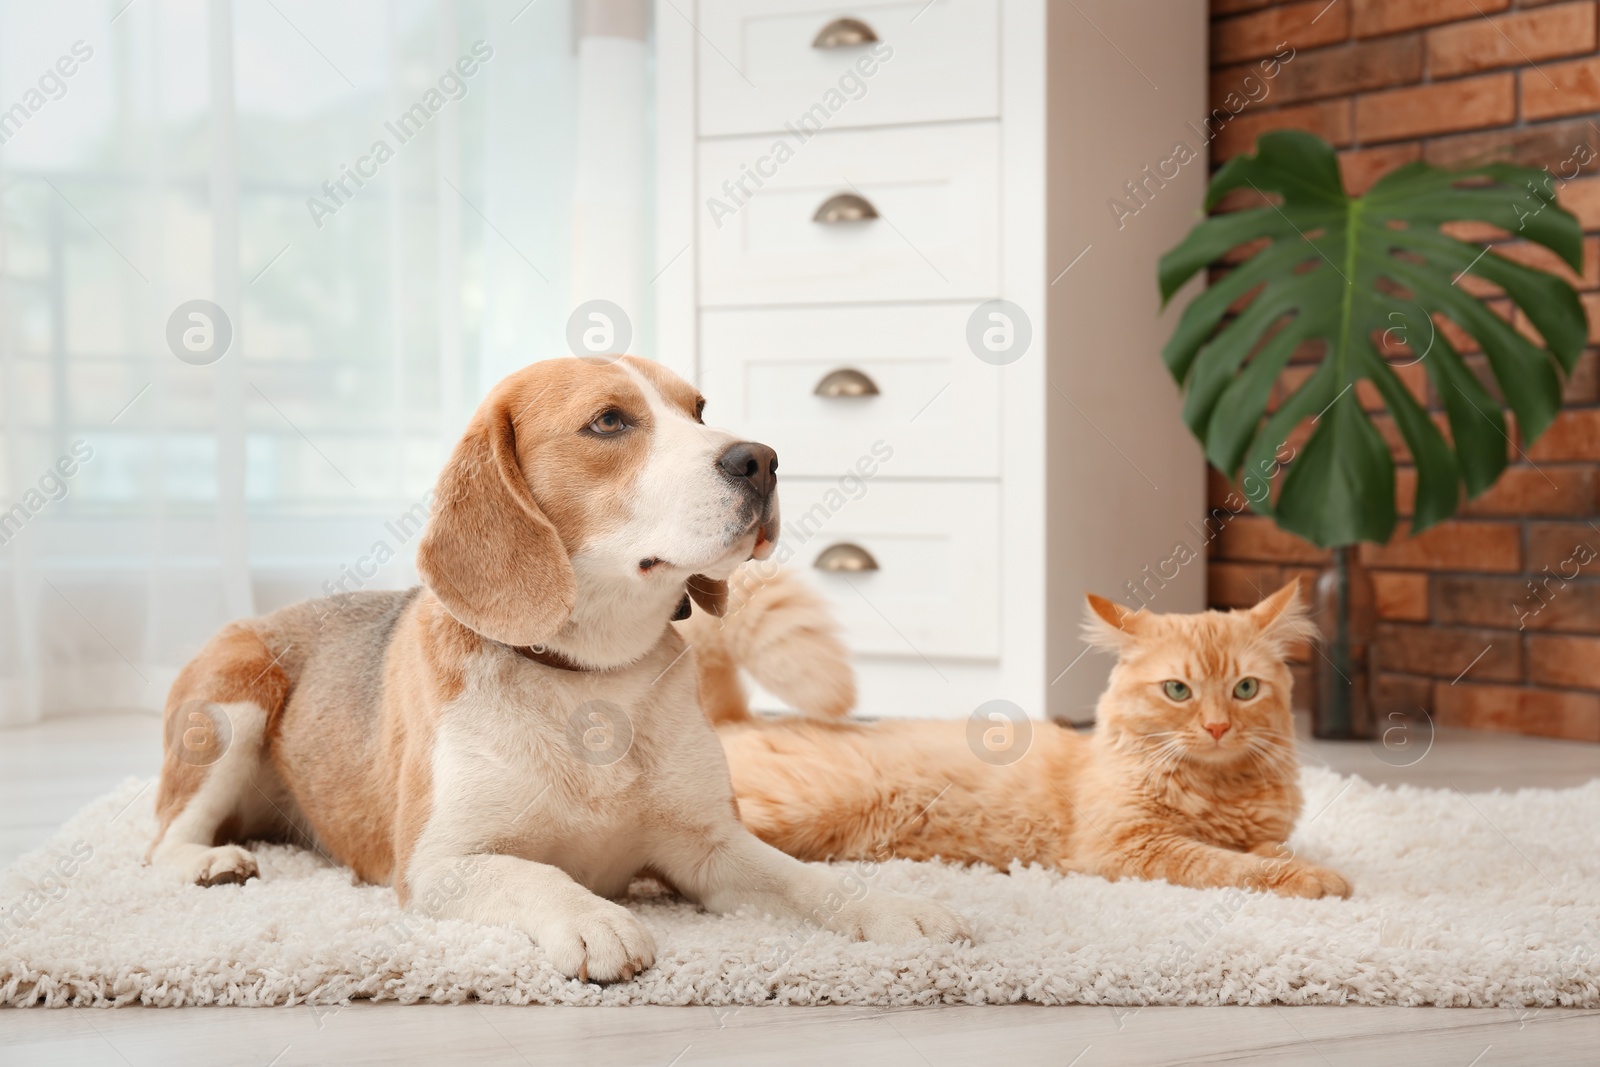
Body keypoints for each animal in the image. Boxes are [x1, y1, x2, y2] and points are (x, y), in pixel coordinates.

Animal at [147, 358, 960, 985]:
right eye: (609, 421)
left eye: (699, 410)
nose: (761, 458)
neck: (588, 676)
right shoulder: (438, 865)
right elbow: (537, 872)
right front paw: (595, 917)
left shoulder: (710, 847)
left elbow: (805, 877)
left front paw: (886, 905)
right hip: (233, 705)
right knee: (160, 842)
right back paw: (211, 864)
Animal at [713, 585, 1350, 902]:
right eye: (1177, 690)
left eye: (1245, 689)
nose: (1217, 727)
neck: (1217, 787)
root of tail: (734, 716)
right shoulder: (1130, 847)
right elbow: (1231, 864)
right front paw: (1315, 879)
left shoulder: (1264, 829)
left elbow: (1269, 850)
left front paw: (1301, 864)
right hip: (790, 810)